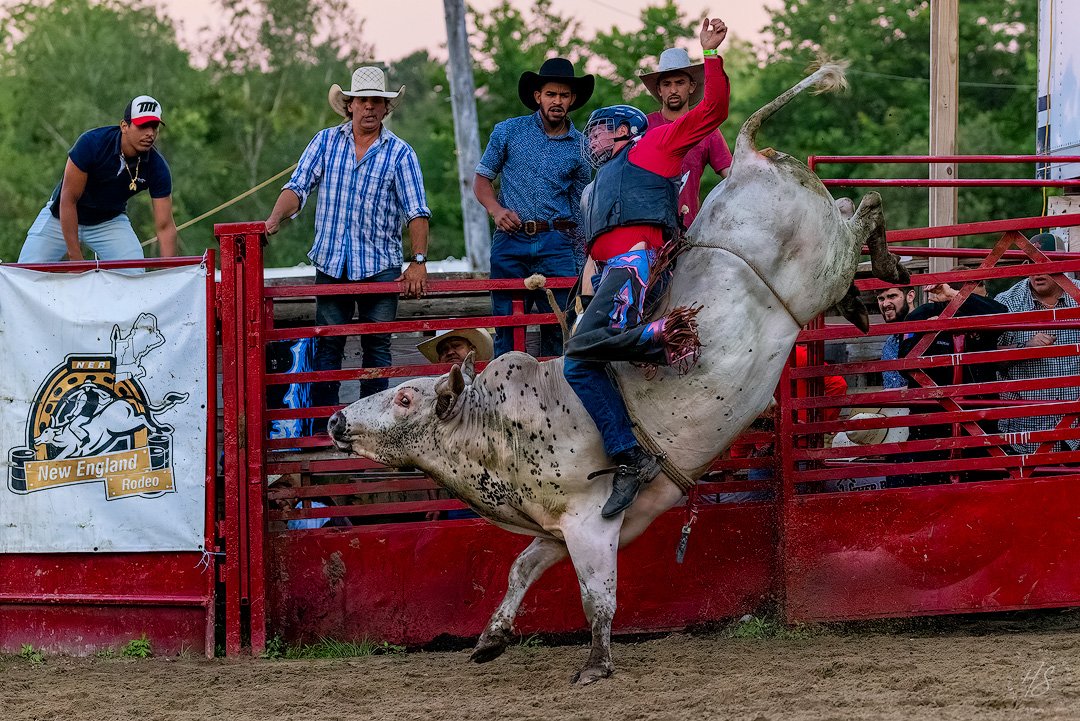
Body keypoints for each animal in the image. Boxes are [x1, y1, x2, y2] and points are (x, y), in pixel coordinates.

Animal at [324, 62, 907, 682]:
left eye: (405, 399)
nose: (335, 421)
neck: (496, 425)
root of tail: (750, 156)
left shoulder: (591, 524)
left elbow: (595, 597)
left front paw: (596, 663)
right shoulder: (557, 530)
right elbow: (521, 568)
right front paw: (490, 638)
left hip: (823, 260)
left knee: (865, 208)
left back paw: (887, 267)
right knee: (849, 208)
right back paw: (862, 299)